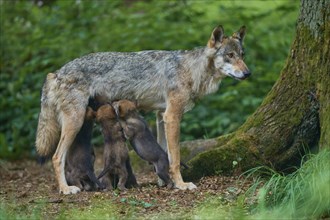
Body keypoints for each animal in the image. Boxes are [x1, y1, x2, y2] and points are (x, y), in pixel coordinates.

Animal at [35, 25, 250, 194]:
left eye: (242, 55)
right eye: (230, 56)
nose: (248, 73)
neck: (191, 70)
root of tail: (55, 73)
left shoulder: (161, 116)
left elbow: (165, 153)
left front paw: (164, 182)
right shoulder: (173, 116)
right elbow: (175, 158)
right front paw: (181, 184)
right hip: (76, 121)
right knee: (56, 157)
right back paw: (66, 189)